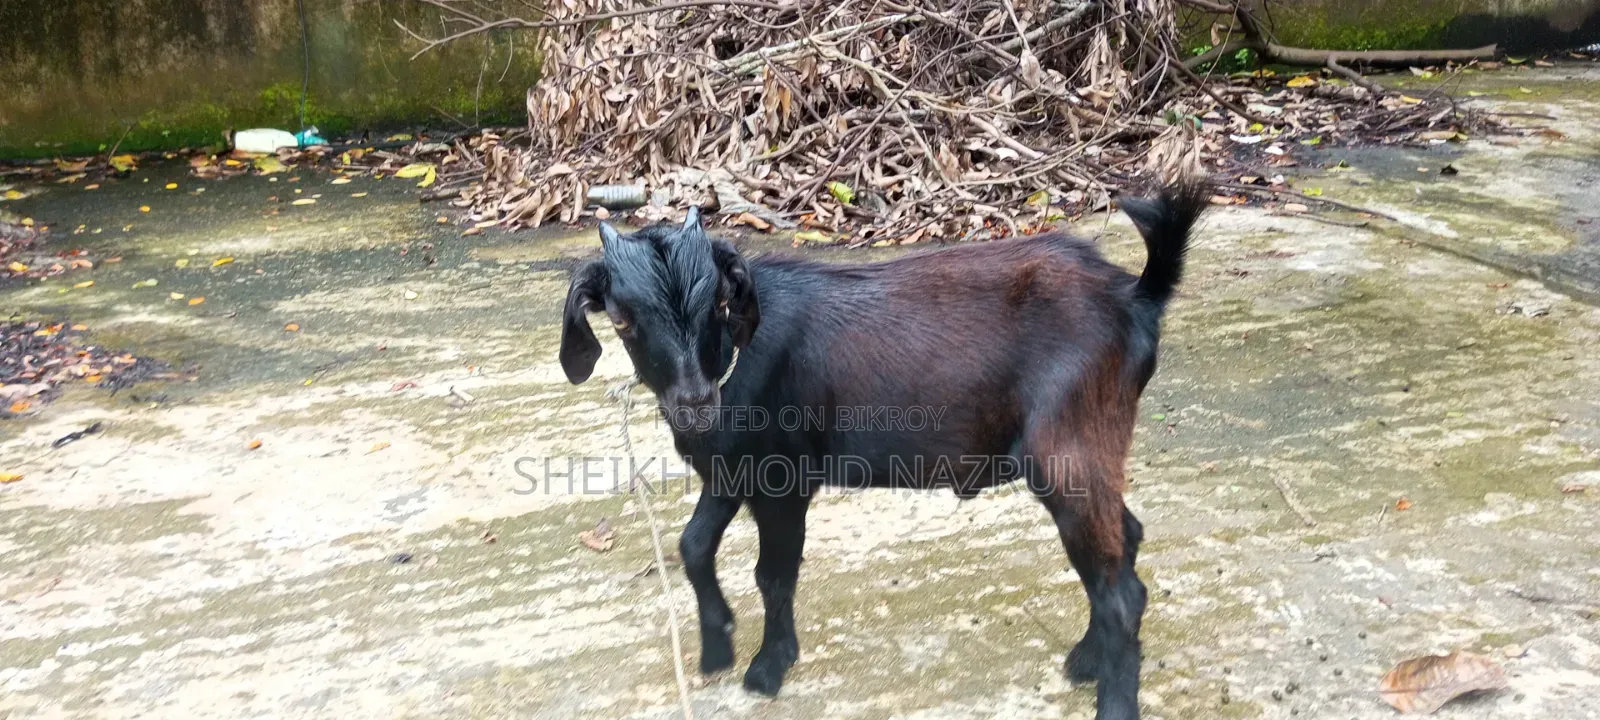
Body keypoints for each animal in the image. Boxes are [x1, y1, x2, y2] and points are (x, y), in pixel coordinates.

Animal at [560, 184, 1208, 720]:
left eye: (719, 304)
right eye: (621, 320)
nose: (695, 404)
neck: (736, 359)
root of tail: (1136, 298)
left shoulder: (782, 478)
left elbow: (773, 574)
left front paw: (768, 668)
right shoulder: (730, 469)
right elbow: (693, 546)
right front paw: (717, 646)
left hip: (1068, 449)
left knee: (1120, 590)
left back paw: (1112, 700)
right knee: (1126, 541)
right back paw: (1085, 660)